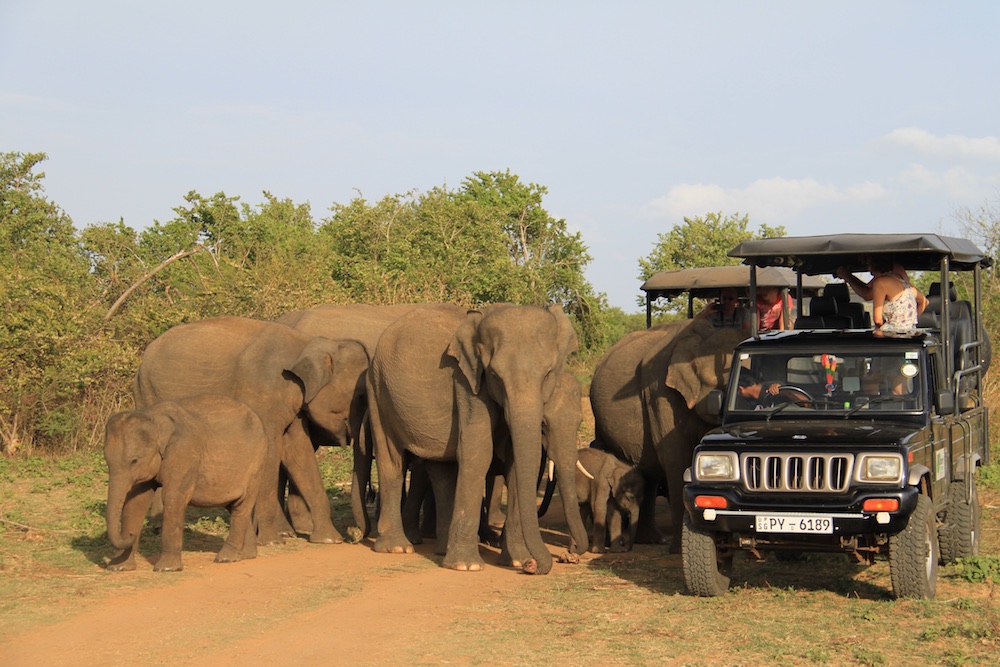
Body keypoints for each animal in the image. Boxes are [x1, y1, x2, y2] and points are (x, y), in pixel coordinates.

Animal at [104, 396, 268, 576]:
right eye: (106, 459)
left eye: (134, 460)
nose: (131, 533)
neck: (153, 417)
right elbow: (136, 502)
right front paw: (119, 567)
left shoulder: (184, 452)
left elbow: (173, 498)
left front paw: (166, 569)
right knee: (232, 505)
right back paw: (246, 555)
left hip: (256, 464)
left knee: (241, 506)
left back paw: (226, 557)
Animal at [132, 318, 368, 548]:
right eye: (361, 395)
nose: (354, 538)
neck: (307, 344)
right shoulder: (261, 394)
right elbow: (271, 452)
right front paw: (271, 541)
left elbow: (298, 452)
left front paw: (329, 539)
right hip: (150, 395)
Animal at [366, 306, 584, 572]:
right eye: (494, 375)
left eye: (548, 374)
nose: (533, 566)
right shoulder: (467, 383)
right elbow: (478, 452)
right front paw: (466, 566)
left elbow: (517, 462)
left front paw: (515, 560)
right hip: (377, 388)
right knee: (391, 460)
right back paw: (397, 547)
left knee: (442, 471)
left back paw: (440, 549)